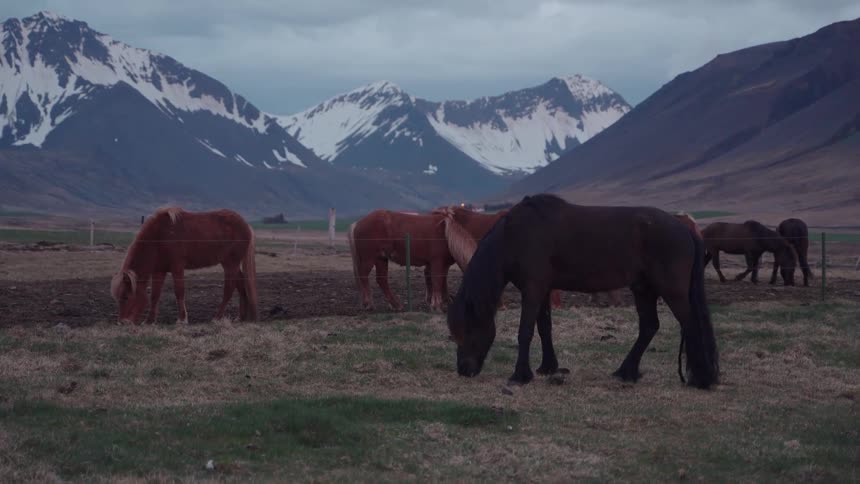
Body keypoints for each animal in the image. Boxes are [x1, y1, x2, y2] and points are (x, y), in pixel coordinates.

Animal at [110, 207, 258, 324]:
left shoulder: (177, 267)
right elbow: (155, 295)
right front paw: (149, 321)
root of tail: (247, 226)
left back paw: (217, 317)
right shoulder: (159, 271)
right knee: (241, 285)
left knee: (229, 289)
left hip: (230, 264)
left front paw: (182, 319)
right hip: (230, 264)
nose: (122, 322)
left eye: (126, 297)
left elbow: (179, 291)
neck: (160, 236)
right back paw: (241, 317)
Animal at [448, 194, 720, 389]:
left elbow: (525, 331)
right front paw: (548, 367)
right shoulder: (543, 289)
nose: (463, 370)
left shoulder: (532, 289)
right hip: (644, 288)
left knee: (689, 324)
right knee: (649, 326)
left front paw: (520, 375)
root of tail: (686, 230)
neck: (514, 236)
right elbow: (544, 328)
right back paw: (626, 372)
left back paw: (700, 378)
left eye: (468, 330)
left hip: (672, 291)